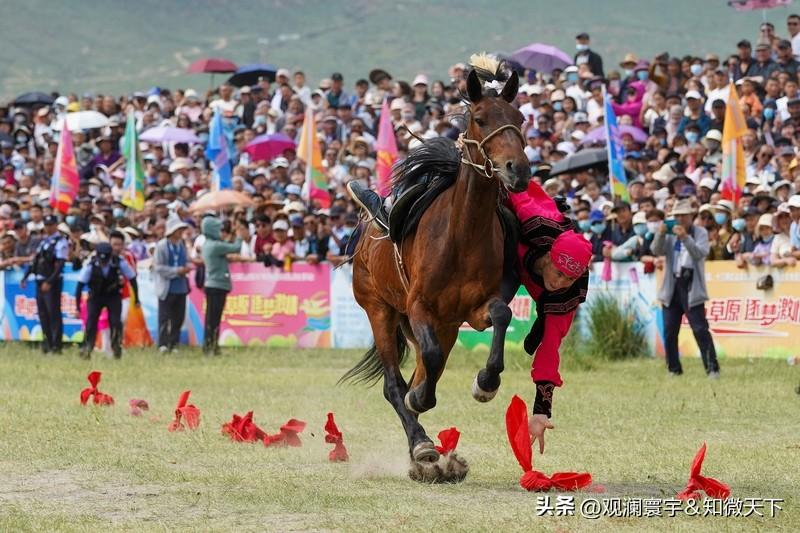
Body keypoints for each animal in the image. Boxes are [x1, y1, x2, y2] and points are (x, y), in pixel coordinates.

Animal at [341, 63, 531, 470]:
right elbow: (418, 379)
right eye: (480, 118)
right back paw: (422, 444)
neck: (461, 235)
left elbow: (502, 314)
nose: (518, 170)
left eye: (520, 118)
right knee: (396, 384)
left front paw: (485, 383)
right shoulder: (418, 307)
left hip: (446, 326)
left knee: (423, 370)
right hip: (380, 310)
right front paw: (420, 404)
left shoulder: (474, 309)